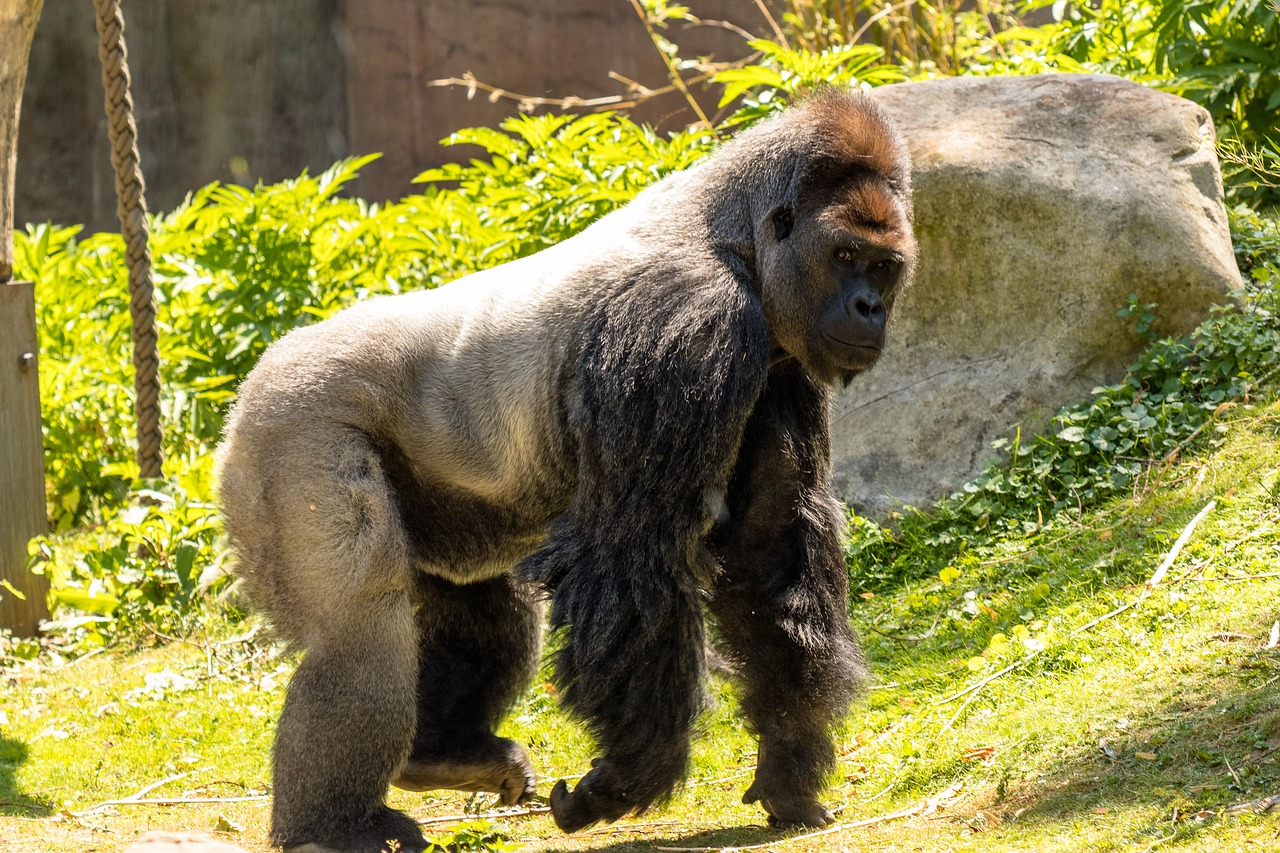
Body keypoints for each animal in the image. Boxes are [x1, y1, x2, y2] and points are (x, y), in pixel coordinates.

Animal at [222, 91, 921, 850]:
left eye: (883, 268)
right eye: (845, 255)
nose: (869, 307)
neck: (736, 239)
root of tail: (258, 373)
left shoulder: (781, 363)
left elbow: (769, 548)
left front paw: (788, 765)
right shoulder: (686, 323)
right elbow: (629, 553)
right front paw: (632, 774)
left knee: (483, 602)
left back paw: (444, 752)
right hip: (292, 422)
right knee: (358, 631)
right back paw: (333, 825)